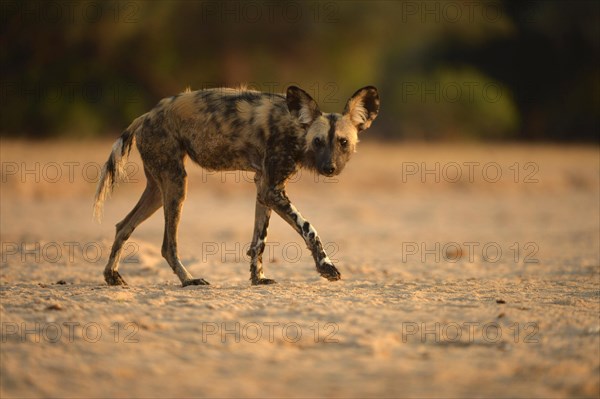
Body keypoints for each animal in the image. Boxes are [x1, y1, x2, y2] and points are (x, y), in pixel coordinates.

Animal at [94, 84, 380, 286]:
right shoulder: (272, 190)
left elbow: (259, 240)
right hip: (176, 183)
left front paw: (258, 279)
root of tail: (147, 114)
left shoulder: (264, 189)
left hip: (158, 188)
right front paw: (326, 267)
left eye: (343, 142)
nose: (329, 168)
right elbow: (309, 228)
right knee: (167, 245)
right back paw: (189, 280)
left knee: (123, 226)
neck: (296, 129)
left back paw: (112, 277)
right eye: (318, 141)